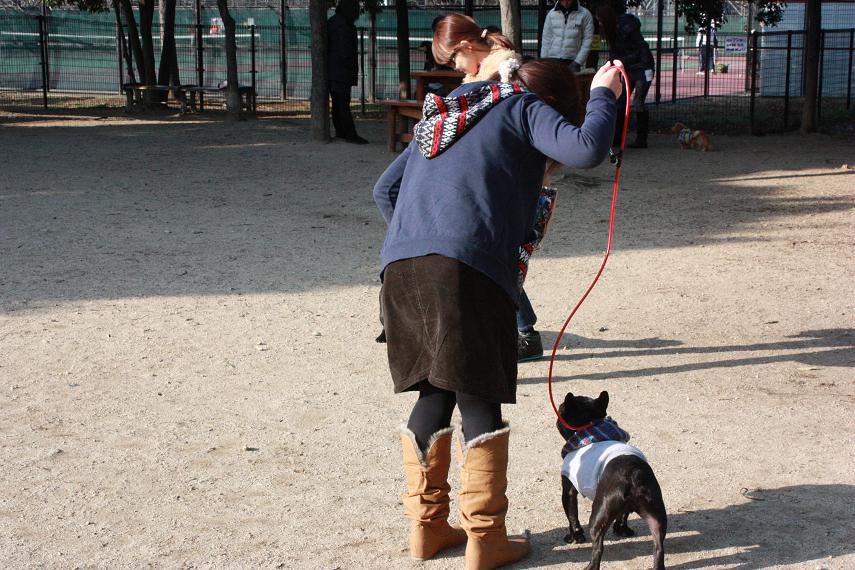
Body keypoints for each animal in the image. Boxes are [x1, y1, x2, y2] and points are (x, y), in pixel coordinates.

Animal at [557, 391, 667, 570]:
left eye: (561, 410)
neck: (590, 426)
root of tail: (634, 475)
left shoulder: (568, 490)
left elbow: (572, 516)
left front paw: (573, 537)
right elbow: (622, 515)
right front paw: (621, 530)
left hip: (599, 514)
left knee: (598, 547)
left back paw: (590, 566)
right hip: (657, 514)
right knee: (659, 547)